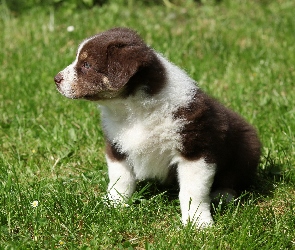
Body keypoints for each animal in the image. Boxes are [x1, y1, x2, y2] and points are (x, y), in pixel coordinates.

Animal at [53, 27, 262, 229]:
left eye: (87, 65)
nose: (56, 79)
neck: (132, 110)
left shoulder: (196, 150)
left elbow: (192, 192)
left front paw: (198, 224)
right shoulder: (116, 146)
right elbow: (120, 180)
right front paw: (112, 205)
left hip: (248, 147)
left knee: (234, 177)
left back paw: (223, 195)